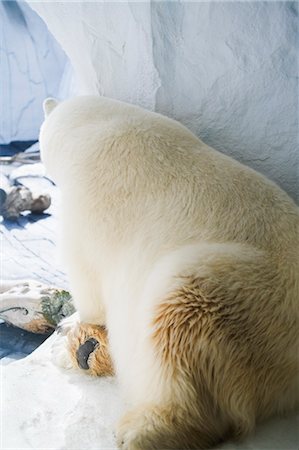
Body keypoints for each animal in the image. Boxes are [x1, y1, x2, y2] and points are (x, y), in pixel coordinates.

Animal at [40, 96, 299, 448]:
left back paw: (142, 429)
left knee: (178, 328)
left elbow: (88, 283)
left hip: (242, 298)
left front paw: (70, 325)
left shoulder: (85, 207)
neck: (95, 125)